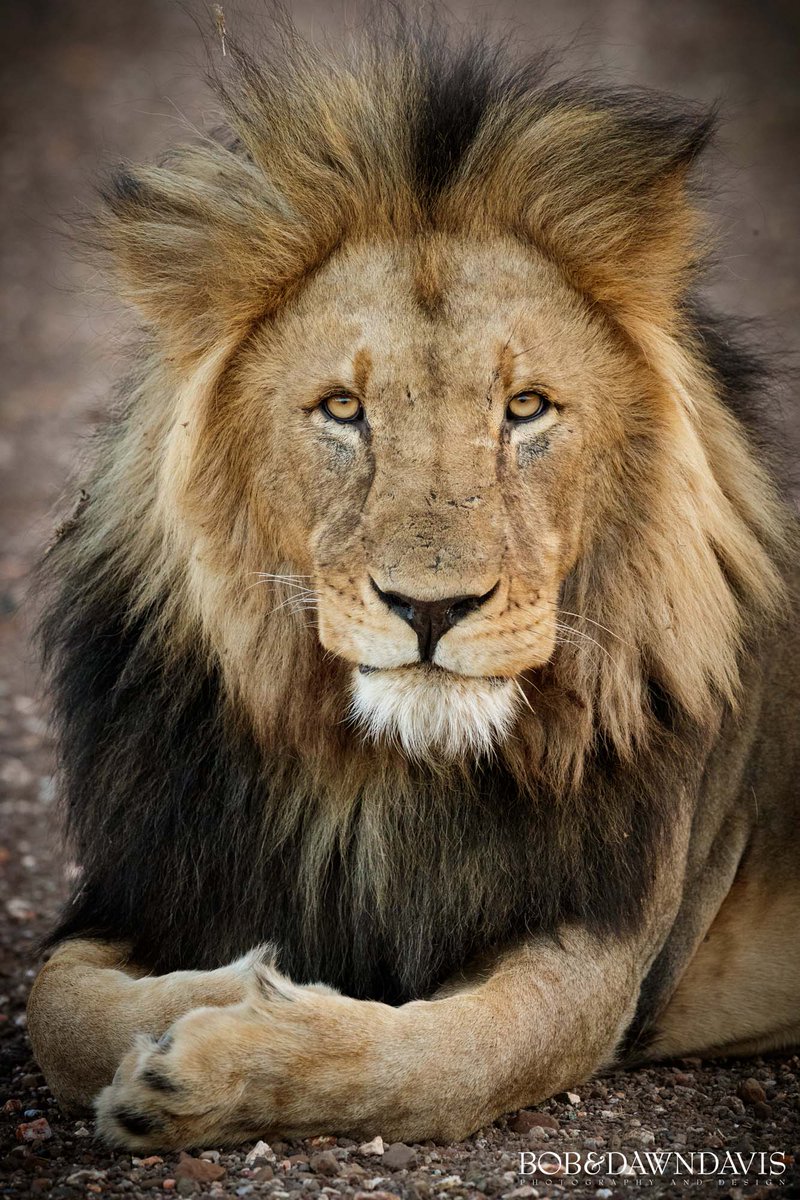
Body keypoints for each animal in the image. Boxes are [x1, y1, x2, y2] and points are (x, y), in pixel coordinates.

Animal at [26, 14, 800, 1152]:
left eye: (525, 407)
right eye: (343, 410)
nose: (432, 610)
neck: (384, 777)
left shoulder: (601, 954)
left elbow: (439, 1057)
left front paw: (220, 1052)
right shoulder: (142, 886)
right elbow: (55, 1007)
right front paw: (244, 977)